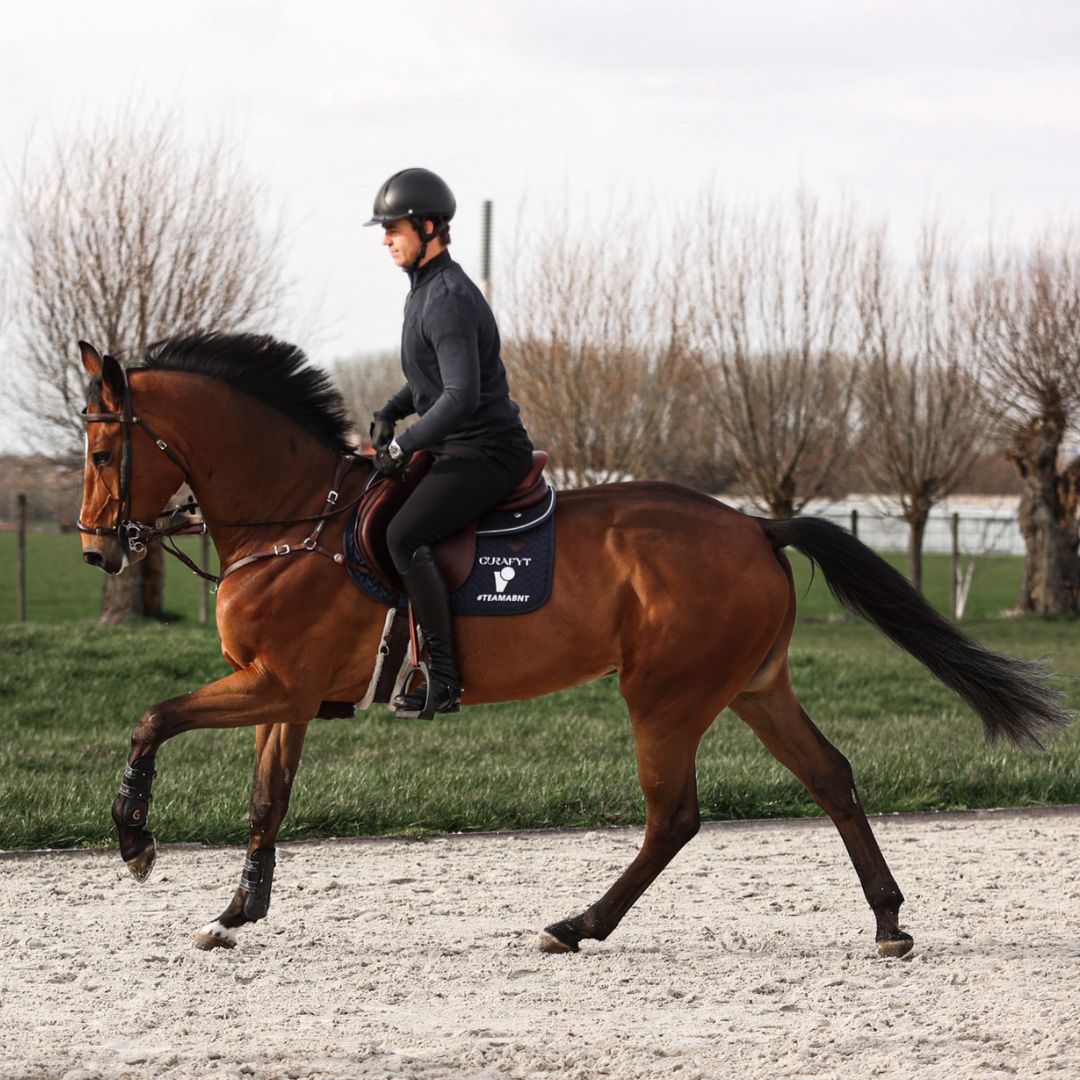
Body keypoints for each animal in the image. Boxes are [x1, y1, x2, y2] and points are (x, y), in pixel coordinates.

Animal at [76, 332, 1069, 957]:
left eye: (98, 449)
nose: (96, 548)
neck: (298, 517)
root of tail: (755, 525)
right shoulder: (284, 694)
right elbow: (264, 801)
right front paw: (234, 913)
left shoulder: (272, 682)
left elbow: (152, 717)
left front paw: (135, 841)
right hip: (755, 687)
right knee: (830, 777)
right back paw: (888, 922)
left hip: (665, 696)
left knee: (675, 817)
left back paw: (578, 925)